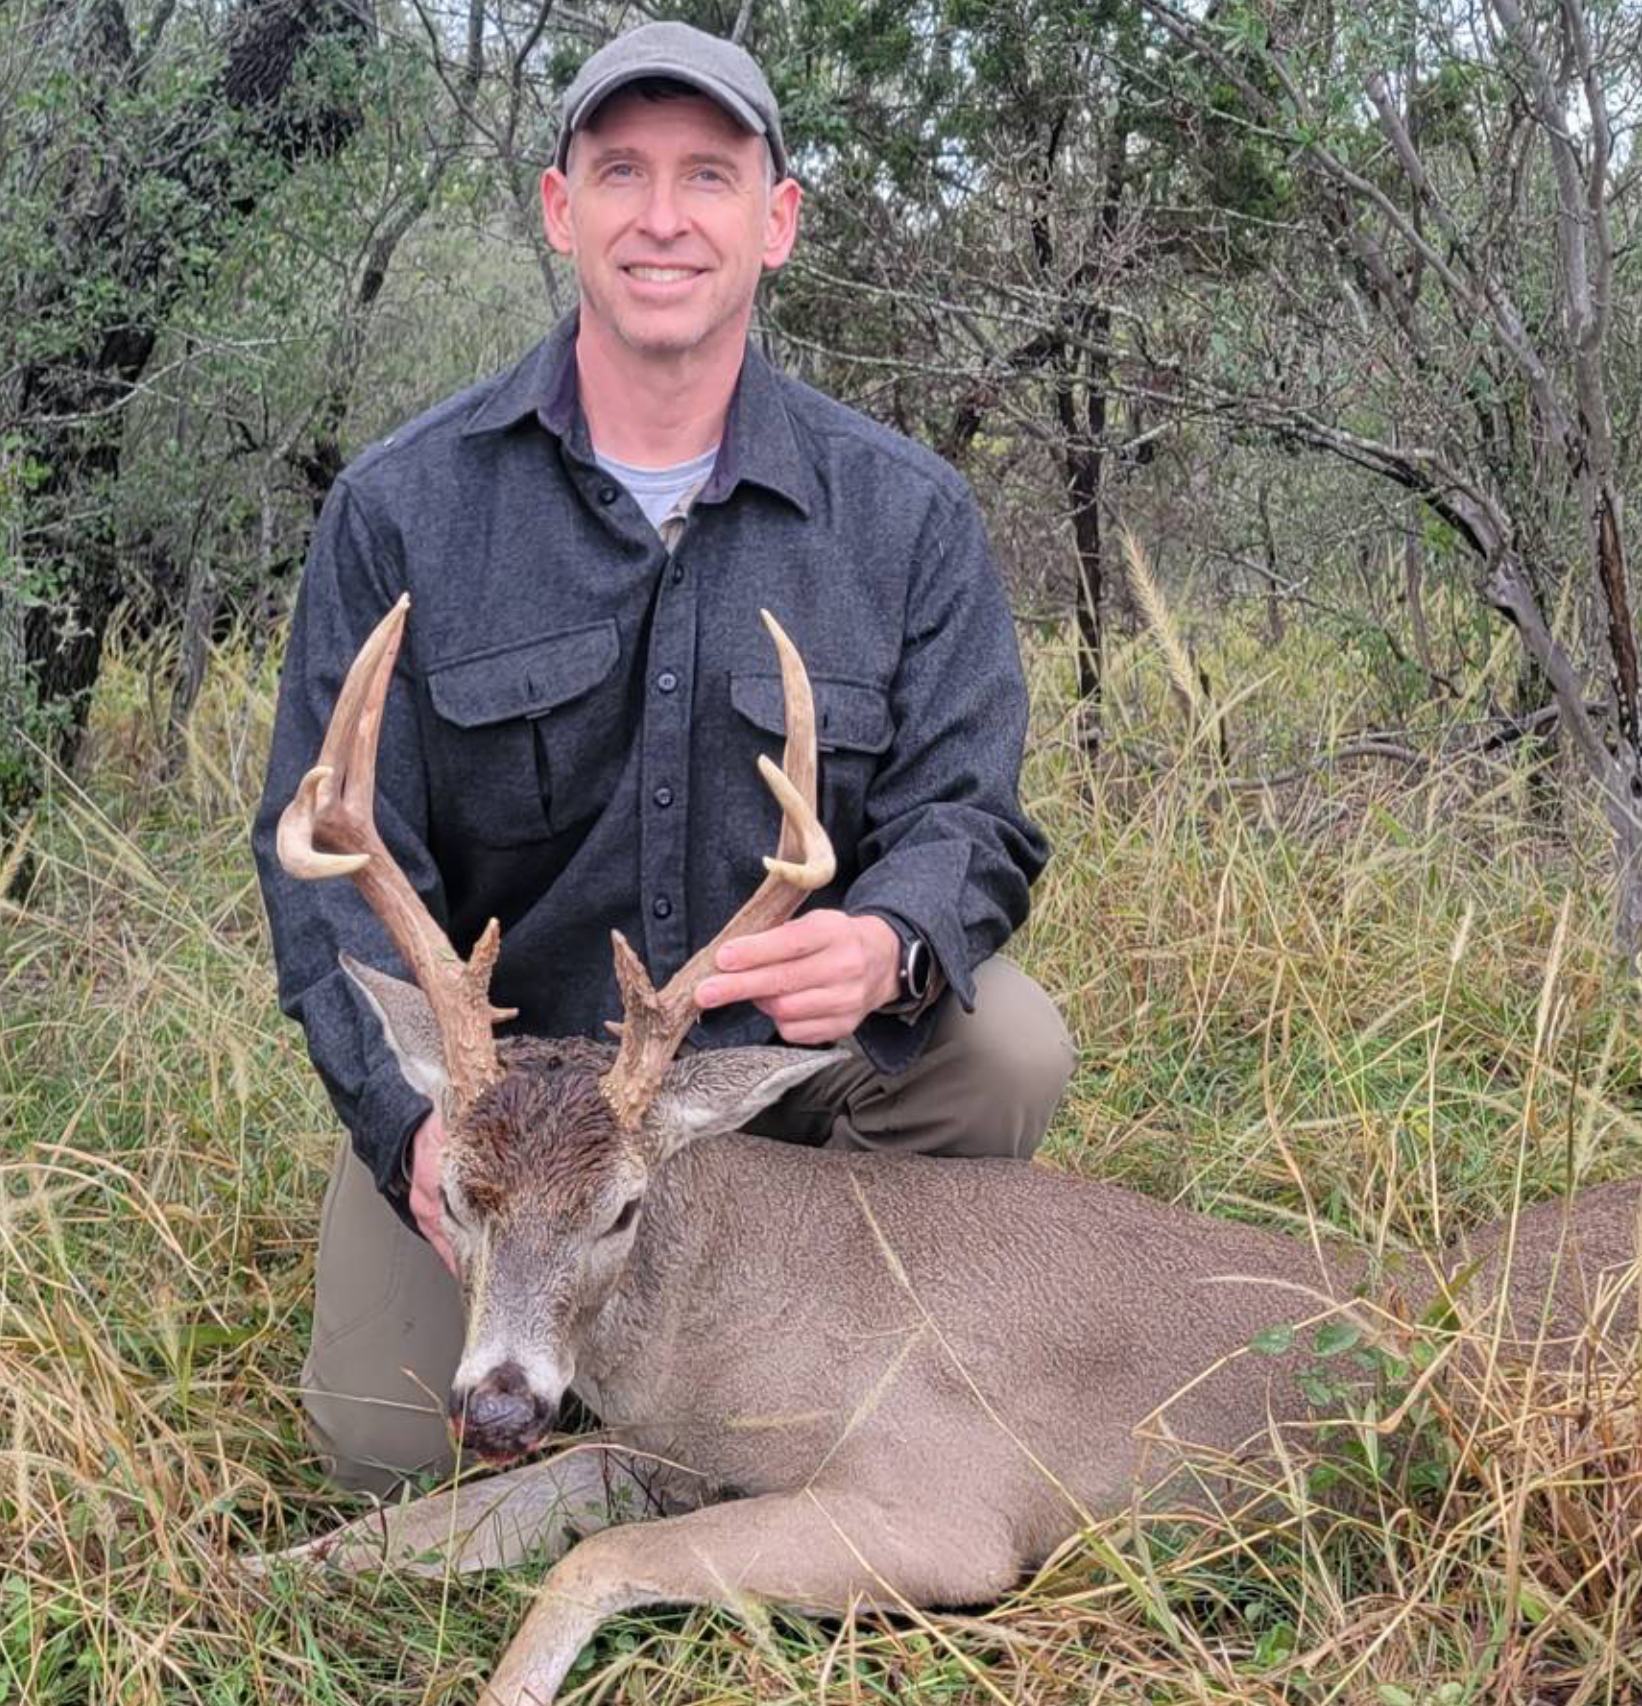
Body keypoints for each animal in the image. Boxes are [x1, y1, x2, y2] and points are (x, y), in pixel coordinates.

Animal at [260, 594, 1642, 1706]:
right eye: (457, 1191)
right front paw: (250, 1568)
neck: (729, 1332)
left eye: (622, 1207)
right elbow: (413, 1528)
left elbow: (591, 1561)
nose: (500, 1401)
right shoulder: (651, 1455)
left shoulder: (950, 1509)